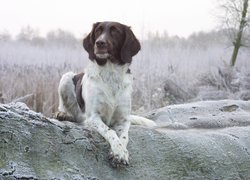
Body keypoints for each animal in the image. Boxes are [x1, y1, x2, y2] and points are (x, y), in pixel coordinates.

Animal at [55, 21, 155, 168]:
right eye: (98, 31)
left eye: (115, 31)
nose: (99, 43)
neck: (110, 74)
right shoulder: (93, 117)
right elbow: (110, 131)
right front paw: (118, 152)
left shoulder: (123, 120)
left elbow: (124, 137)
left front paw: (121, 152)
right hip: (66, 77)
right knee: (64, 107)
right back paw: (64, 114)